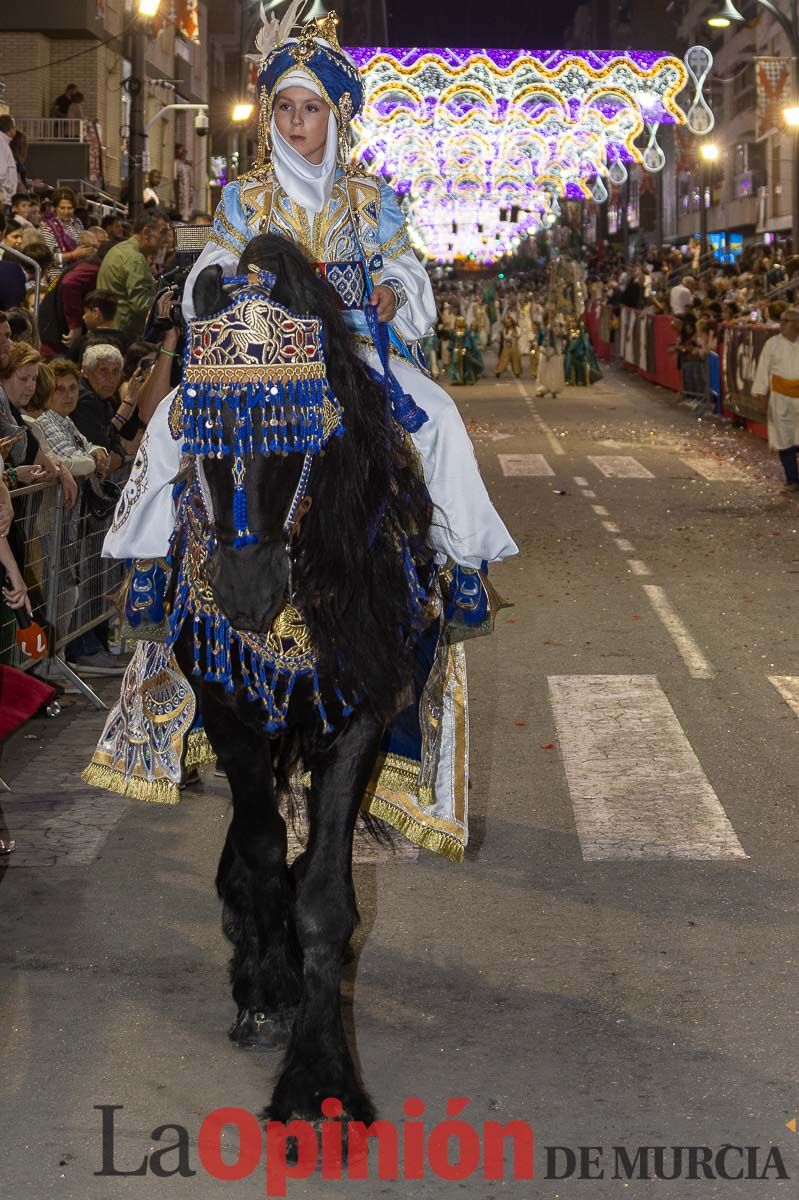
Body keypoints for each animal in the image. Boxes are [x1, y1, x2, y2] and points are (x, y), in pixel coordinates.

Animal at [173, 231, 431, 1123]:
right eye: (199, 432)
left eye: (293, 431)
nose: (245, 595)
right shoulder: (227, 710)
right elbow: (258, 852)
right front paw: (266, 985)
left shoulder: (360, 712)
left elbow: (323, 900)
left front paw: (320, 1078)